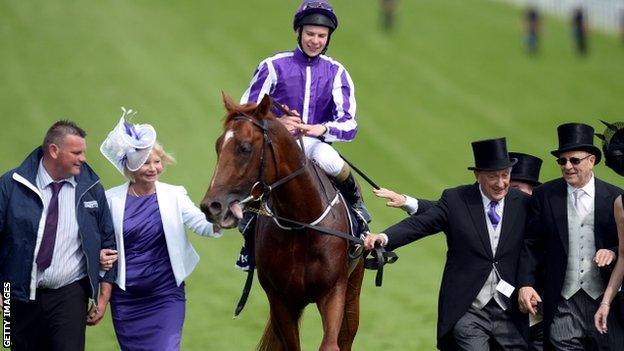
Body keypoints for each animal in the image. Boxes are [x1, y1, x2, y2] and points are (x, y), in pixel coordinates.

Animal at [202, 94, 364, 351]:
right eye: (218, 146)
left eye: (245, 148)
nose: (212, 206)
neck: (301, 224)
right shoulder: (281, 300)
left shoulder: (333, 291)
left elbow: (331, 344)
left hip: (353, 288)